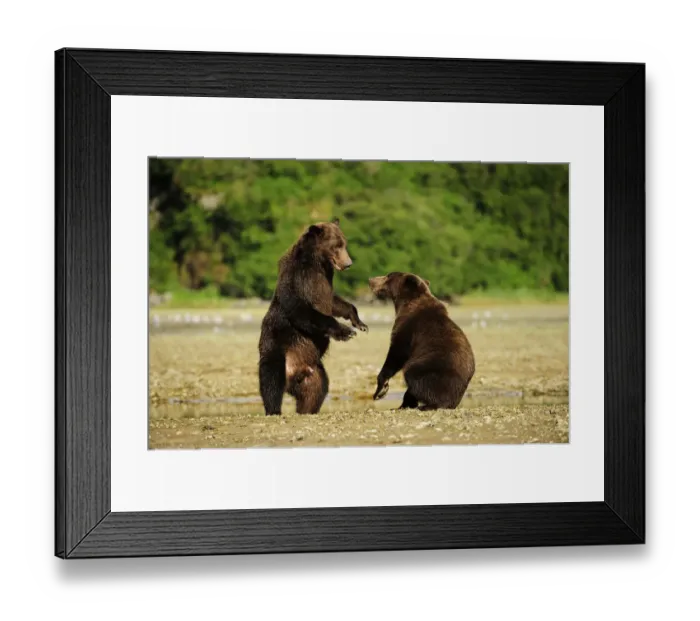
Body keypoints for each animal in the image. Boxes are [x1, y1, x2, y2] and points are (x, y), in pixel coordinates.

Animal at [258, 218, 368, 415]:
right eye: (336, 245)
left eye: (344, 243)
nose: (348, 263)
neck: (317, 263)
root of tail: (293, 375)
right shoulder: (298, 280)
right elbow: (303, 311)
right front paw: (345, 331)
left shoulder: (325, 285)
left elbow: (336, 303)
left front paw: (359, 323)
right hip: (278, 348)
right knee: (271, 380)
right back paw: (274, 410)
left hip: (314, 370)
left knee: (317, 390)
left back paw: (307, 409)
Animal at [368, 272, 475, 410]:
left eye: (388, 276)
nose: (370, 280)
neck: (405, 303)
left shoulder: (408, 329)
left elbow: (396, 354)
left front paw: (380, 390)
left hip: (432, 368)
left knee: (412, 375)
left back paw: (423, 404)